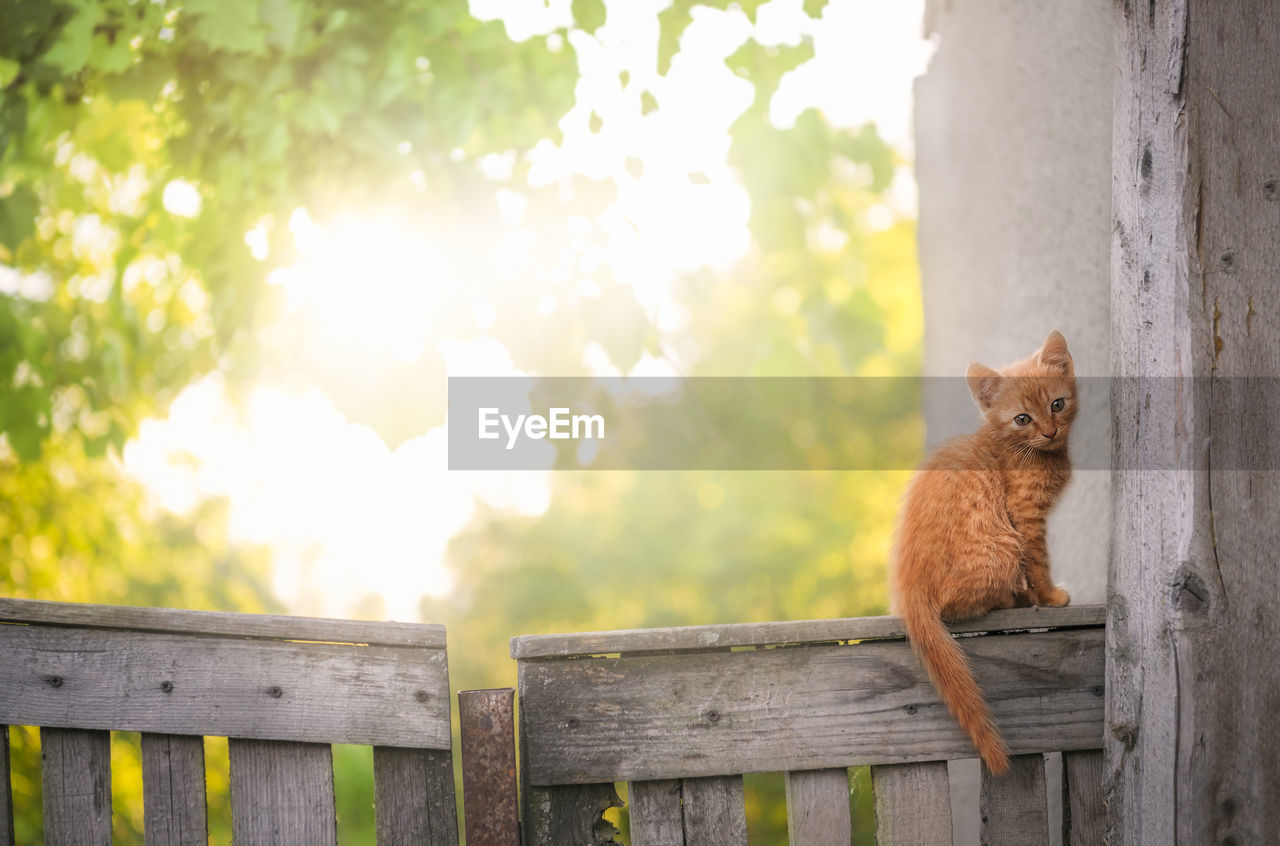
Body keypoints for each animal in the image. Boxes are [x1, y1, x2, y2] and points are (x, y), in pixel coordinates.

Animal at [890, 327, 1080, 773]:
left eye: (1057, 405)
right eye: (1023, 419)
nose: (1050, 431)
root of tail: (909, 586)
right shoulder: (1024, 515)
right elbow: (1039, 560)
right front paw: (1048, 596)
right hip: (1002, 546)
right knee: (963, 604)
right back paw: (1014, 598)